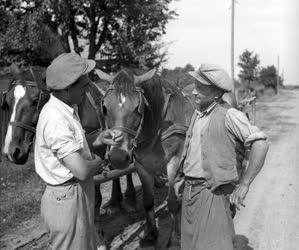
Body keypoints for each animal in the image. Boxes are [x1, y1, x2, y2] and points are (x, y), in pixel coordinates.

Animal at [95, 67, 196, 247]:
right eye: (105, 107)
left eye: (138, 108)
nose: (118, 157)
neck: (158, 126)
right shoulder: (142, 166)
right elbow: (148, 201)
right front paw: (150, 234)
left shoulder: (174, 162)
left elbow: (172, 201)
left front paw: (174, 240)